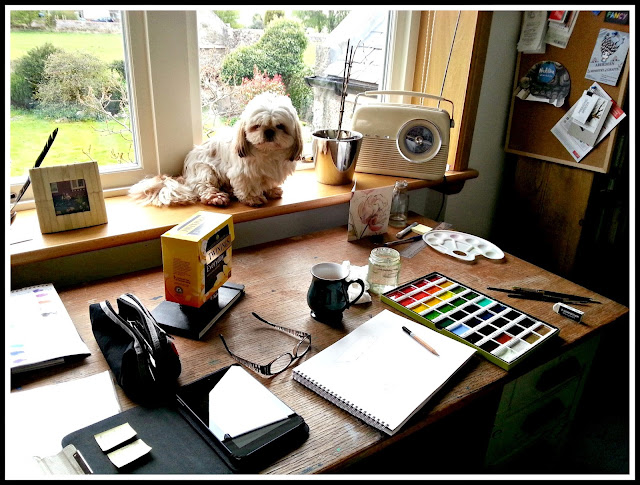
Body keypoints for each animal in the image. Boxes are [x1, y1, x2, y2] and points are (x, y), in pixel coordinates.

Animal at [128, 92, 303, 207]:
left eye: (280, 126)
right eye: (257, 126)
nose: (269, 132)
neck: (268, 153)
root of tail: (186, 175)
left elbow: (267, 182)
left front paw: (271, 191)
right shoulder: (242, 173)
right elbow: (247, 186)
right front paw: (253, 199)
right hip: (205, 171)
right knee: (204, 188)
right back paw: (217, 198)